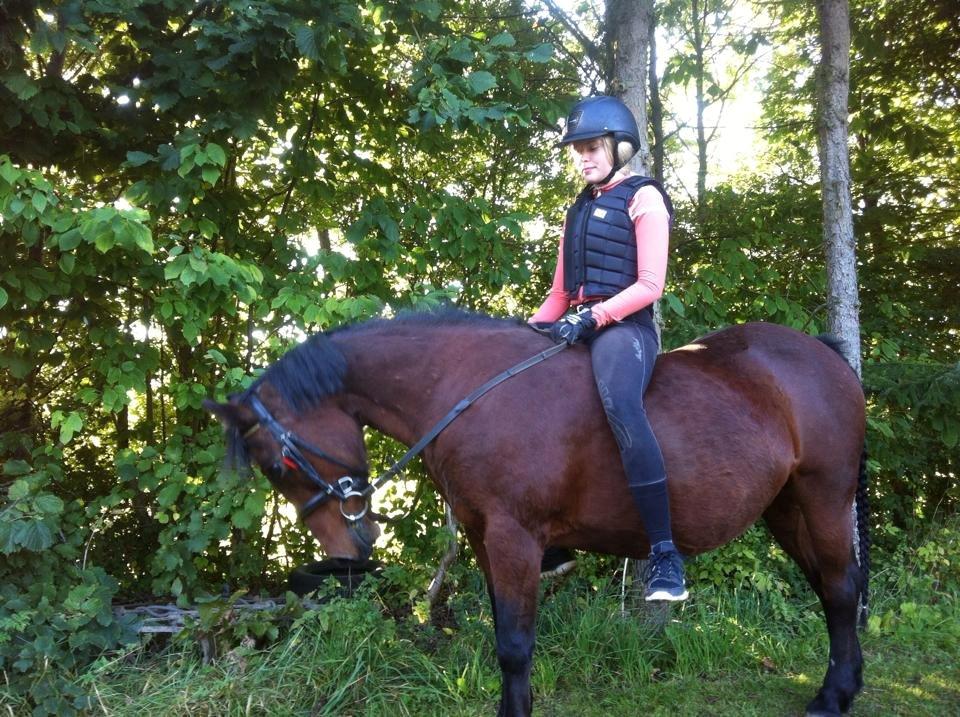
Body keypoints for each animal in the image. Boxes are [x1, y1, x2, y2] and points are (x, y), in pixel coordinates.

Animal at [208, 310, 872, 716]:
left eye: (277, 463)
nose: (348, 549)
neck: (468, 388)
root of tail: (824, 355)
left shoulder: (514, 537)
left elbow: (515, 645)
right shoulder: (484, 537)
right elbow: (507, 635)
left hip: (823, 498)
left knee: (841, 591)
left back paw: (832, 696)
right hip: (786, 509)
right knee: (829, 590)